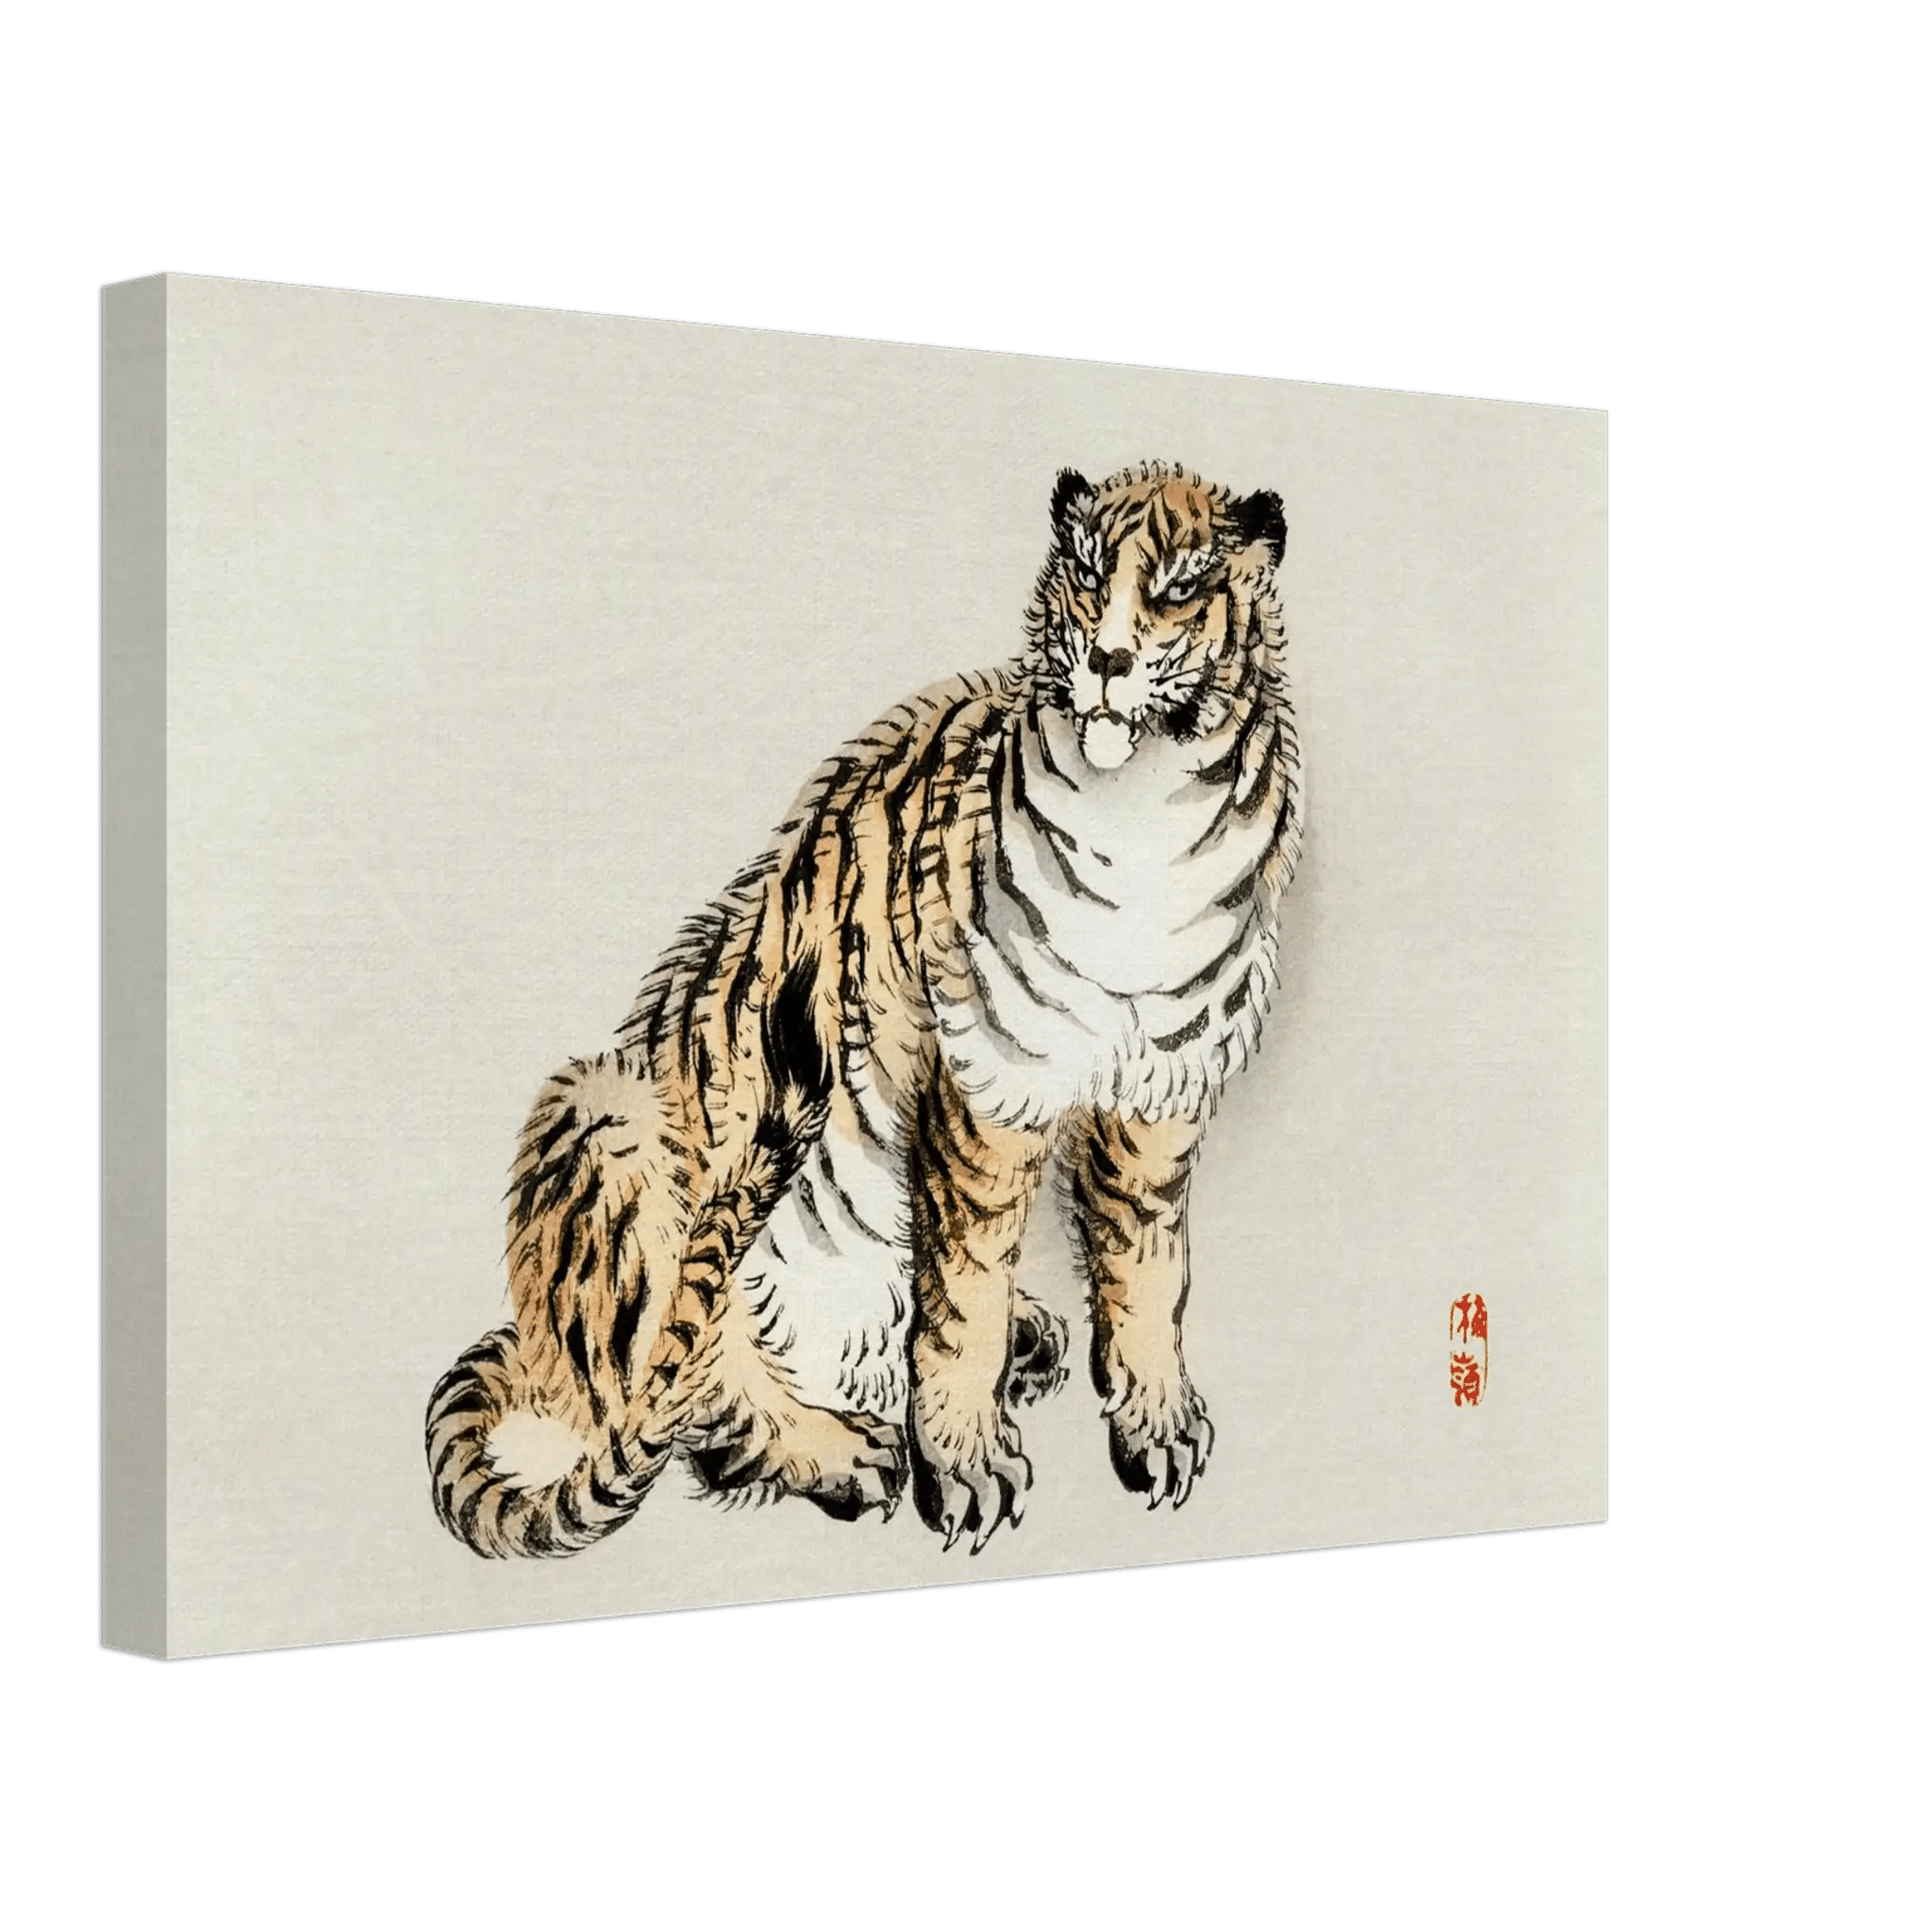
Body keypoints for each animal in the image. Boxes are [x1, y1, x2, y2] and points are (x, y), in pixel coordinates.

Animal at [426, 459, 1303, 1559]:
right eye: (1088, 575)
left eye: (1180, 588)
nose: (1107, 659)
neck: (1147, 815)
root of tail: (534, 1349)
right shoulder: (987, 1089)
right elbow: (962, 1295)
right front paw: (964, 1465)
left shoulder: (1159, 1092)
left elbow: (1147, 1265)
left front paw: (1157, 1425)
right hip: (602, 1111)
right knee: (687, 1395)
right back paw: (845, 1451)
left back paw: (1026, 1340)